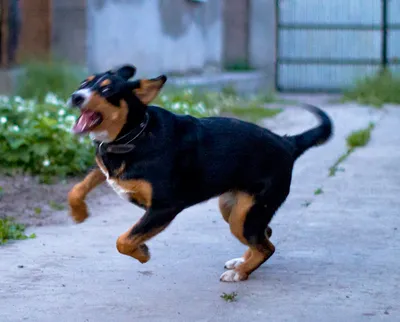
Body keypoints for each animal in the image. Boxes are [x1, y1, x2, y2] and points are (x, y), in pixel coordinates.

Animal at [67, 65, 332, 282]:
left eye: (107, 89)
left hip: (244, 216)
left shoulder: (164, 207)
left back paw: (240, 273)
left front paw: (142, 253)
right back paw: (242, 262)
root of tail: (288, 143)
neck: (134, 134)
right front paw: (79, 213)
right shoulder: (105, 167)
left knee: (267, 246)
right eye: (82, 84)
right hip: (234, 208)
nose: (75, 96)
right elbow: (77, 188)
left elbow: (124, 240)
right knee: (265, 234)